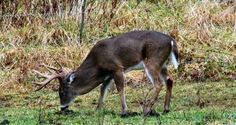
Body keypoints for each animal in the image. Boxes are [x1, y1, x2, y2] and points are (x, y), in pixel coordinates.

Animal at [32, 30, 178, 116]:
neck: (97, 63)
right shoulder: (107, 75)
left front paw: (124, 111)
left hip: (153, 61)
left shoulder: (116, 68)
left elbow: (120, 88)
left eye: (61, 92)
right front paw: (97, 109)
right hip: (163, 64)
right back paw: (165, 108)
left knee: (158, 84)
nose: (62, 107)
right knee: (169, 79)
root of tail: (171, 41)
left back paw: (147, 110)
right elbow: (103, 89)